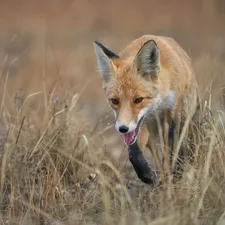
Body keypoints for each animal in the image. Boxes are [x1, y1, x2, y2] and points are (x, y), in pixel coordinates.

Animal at [92, 34, 198, 184]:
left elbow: (173, 151)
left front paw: (174, 177)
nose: (122, 128)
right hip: (151, 135)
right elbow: (134, 154)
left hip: (184, 118)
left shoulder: (174, 116)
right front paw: (147, 175)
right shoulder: (140, 126)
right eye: (114, 101)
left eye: (138, 100)